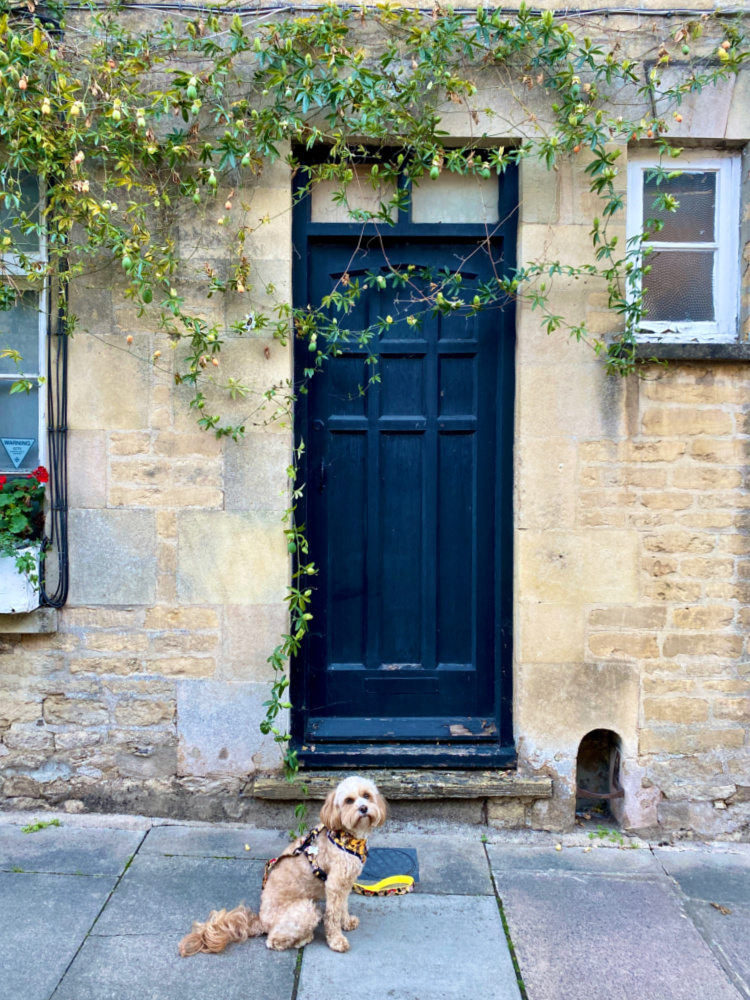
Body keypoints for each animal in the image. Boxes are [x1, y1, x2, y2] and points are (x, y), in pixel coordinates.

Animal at [178, 776, 388, 956]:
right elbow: (333, 915)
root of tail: (261, 920)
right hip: (306, 909)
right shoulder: (335, 885)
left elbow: (342, 907)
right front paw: (337, 940)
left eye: (367, 795)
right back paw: (302, 939)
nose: (363, 808)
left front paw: (347, 922)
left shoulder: (344, 884)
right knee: (273, 940)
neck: (347, 837)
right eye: (349, 801)